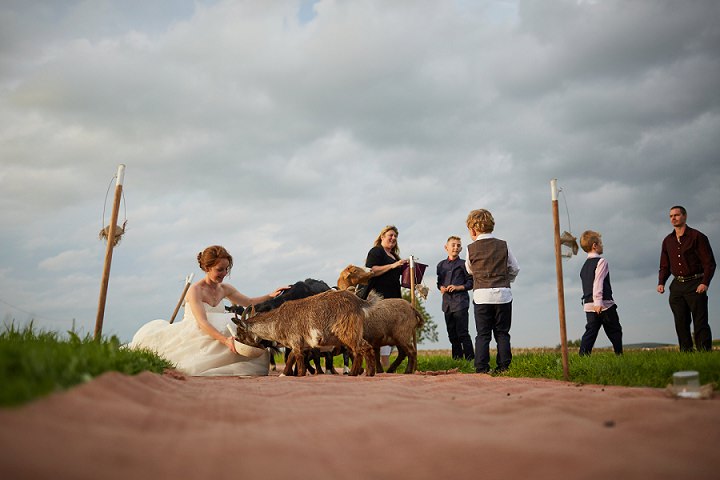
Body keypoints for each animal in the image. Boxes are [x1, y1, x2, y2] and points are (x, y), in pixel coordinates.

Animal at [233, 288, 376, 376]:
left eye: (240, 333)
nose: (236, 343)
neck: (277, 320)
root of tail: (359, 302)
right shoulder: (302, 345)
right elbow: (291, 358)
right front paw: (284, 374)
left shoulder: (295, 340)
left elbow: (298, 360)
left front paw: (299, 374)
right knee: (358, 351)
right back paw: (355, 373)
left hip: (347, 331)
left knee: (364, 348)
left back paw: (367, 373)